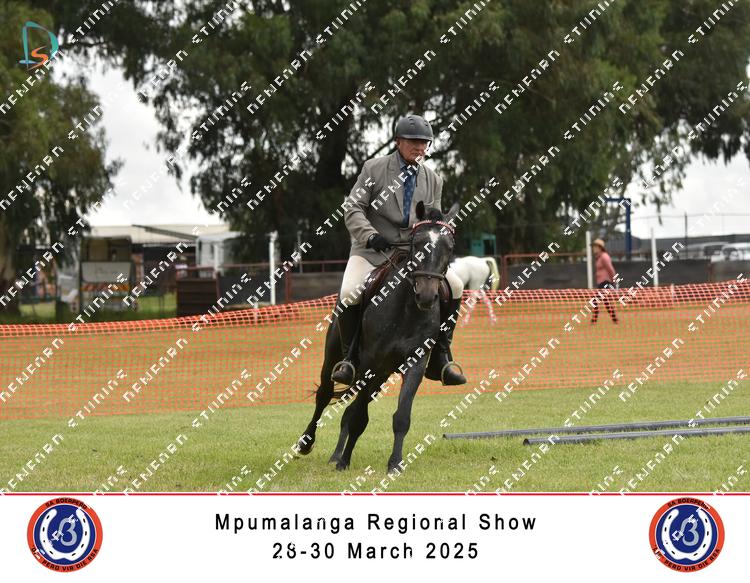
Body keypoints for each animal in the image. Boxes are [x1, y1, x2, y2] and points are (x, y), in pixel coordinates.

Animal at [297, 201, 460, 472]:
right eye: (417, 243)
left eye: (449, 247)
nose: (427, 296)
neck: (406, 309)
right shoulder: (370, 364)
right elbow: (357, 416)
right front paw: (344, 461)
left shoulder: (413, 364)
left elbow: (400, 416)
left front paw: (395, 463)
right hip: (336, 359)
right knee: (324, 396)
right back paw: (308, 444)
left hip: (382, 375)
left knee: (350, 408)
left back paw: (336, 454)